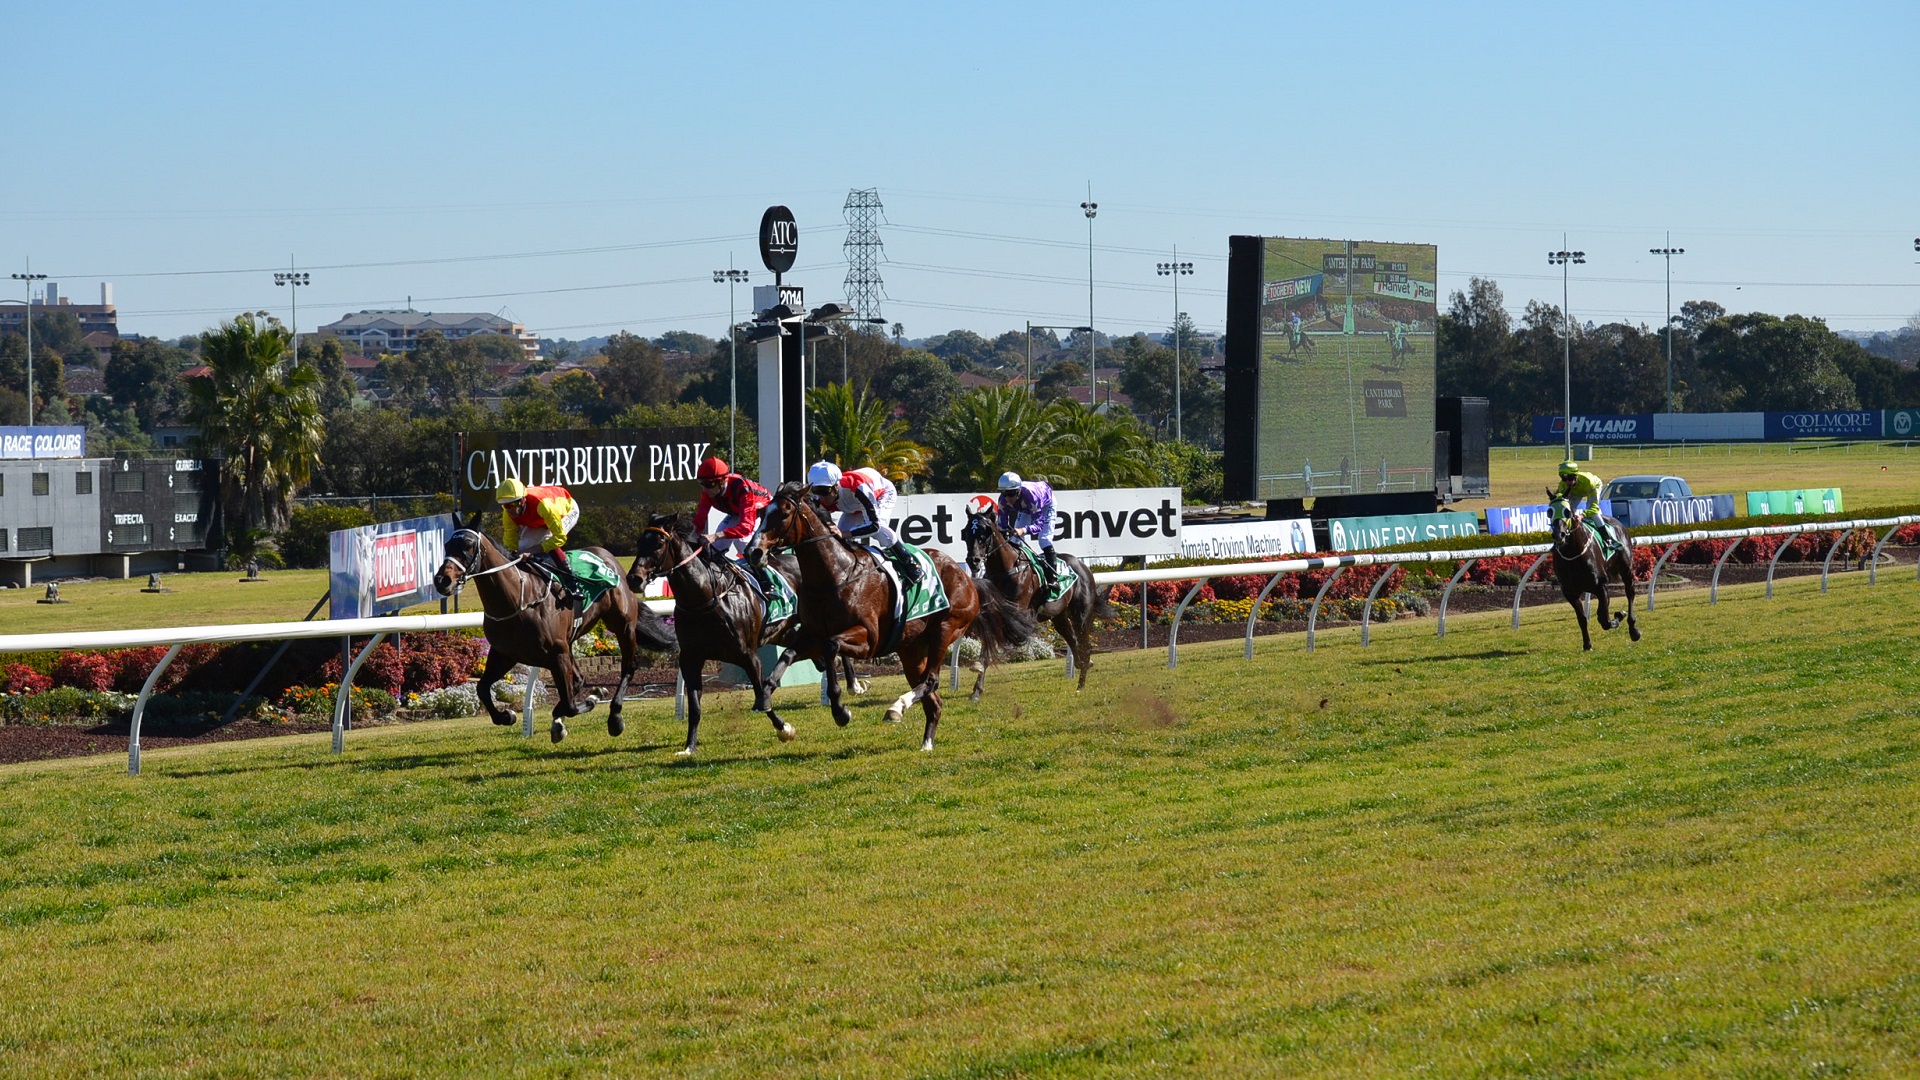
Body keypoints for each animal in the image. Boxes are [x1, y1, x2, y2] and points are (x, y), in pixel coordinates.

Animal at [433, 511, 675, 737]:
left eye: (468, 545)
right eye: (446, 545)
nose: (442, 580)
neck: (517, 599)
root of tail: (609, 557)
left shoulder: (556, 653)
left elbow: (570, 705)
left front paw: (591, 699)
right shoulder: (505, 653)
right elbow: (482, 688)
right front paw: (507, 716)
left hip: (622, 626)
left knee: (628, 667)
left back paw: (614, 717)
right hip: (569, 642)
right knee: (578, 679)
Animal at [625, 507, 867, 753]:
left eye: (659, 543)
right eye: (639, 542)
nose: (634, 578)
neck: (706, 598)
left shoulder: (748, 655)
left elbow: (761, 692)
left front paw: (784, 728)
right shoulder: (691, 658)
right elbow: (695, 706)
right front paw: (689, 747)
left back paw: (854, 685)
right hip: (782, 631)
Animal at [752, 480, 1036, 749]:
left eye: (785, 513)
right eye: (762, 512)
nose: (755, 552)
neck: (835, 575)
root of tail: (967, 577)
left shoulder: (868, 639)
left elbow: (831, 646)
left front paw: (841, 710)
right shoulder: (811, 634)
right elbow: (788, 655)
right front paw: (768, 703)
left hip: (946, 629)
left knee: (931, 681)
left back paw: (897, 707)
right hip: (911, 649)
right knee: (934, 701)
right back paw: (925, 743)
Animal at [960, 507, 1113, 691]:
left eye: (985, 532)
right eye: (966, 533)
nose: (973, 561)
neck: (1006, 570)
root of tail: (1083, 566)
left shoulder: (1019, 614)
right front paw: (977, 686)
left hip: (1082, 615)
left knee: (1085, 644)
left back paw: (1081, 684)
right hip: (1059, 616)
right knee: (1074, 640)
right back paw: (1081, 664)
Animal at [1543, 488, 1635, 645]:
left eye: (1567, 511)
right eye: (1549, 511)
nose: (1559, 535)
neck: (1573, 554)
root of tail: (1617, 520)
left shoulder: (1600, 586)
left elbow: (1604, 620)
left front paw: (1619, 616)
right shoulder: (1570, 593)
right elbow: (1582, 619)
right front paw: (1587, 644)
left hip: (1626, 568)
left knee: (1630, 593)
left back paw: (1634, 630)